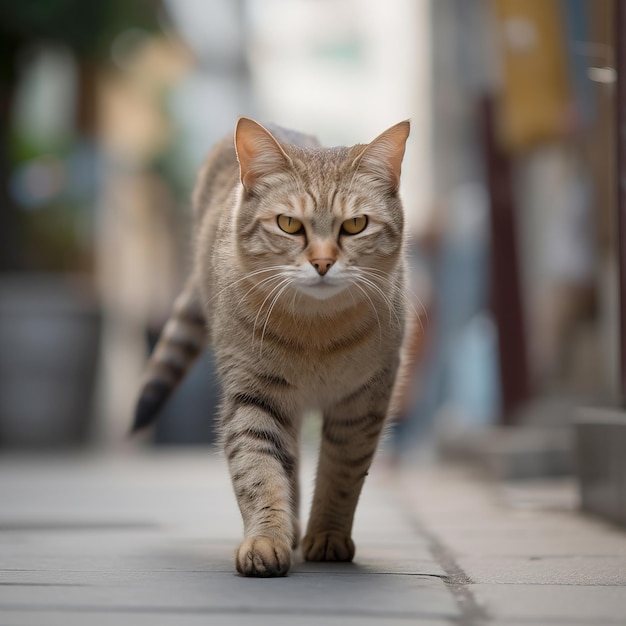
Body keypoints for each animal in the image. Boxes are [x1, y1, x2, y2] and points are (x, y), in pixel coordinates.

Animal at [133, 117, 410, 576]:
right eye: (289, 224)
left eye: (355, 225)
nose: (322, 263)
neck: (317, 332)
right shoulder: (254, 395)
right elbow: (259, 470)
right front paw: (266, 539)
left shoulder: (362, 403)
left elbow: (342, 473)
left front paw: (328, 534)